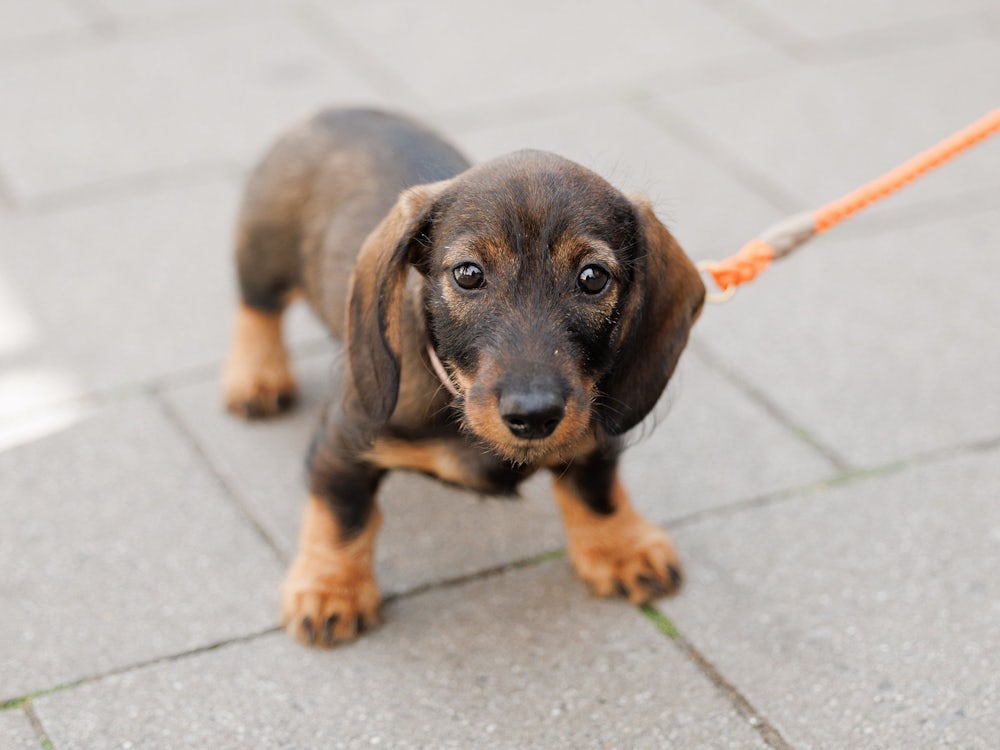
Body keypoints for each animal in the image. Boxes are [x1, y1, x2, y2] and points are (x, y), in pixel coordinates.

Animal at [221, 108, 704, 648]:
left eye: (593, 277)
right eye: (468, 274)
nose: (534, 415)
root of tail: (336, 112)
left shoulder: (592, 427)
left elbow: (596, 490)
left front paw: (621, 546)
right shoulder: (343, 442)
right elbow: (343, 515)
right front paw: (331, 589)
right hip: (263, 254)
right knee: (256, 309)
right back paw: (256, 375)